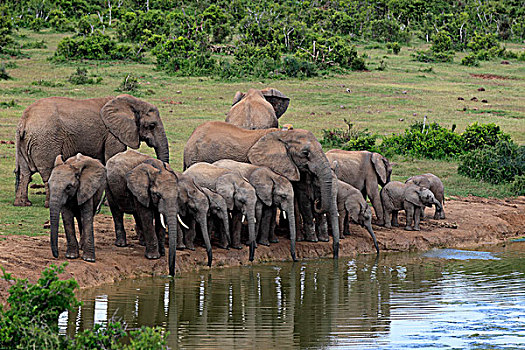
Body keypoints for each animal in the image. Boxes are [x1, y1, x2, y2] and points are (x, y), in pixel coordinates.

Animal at [14, 94, 169, 206]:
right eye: (152, 125)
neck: (132, 103)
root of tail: (24, 121)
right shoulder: (112, 134)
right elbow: (112, 157)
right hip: (46, 140)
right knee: (47, 171)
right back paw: (48, 204)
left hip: (24, 141)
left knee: (24, 172)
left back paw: (23, 204)